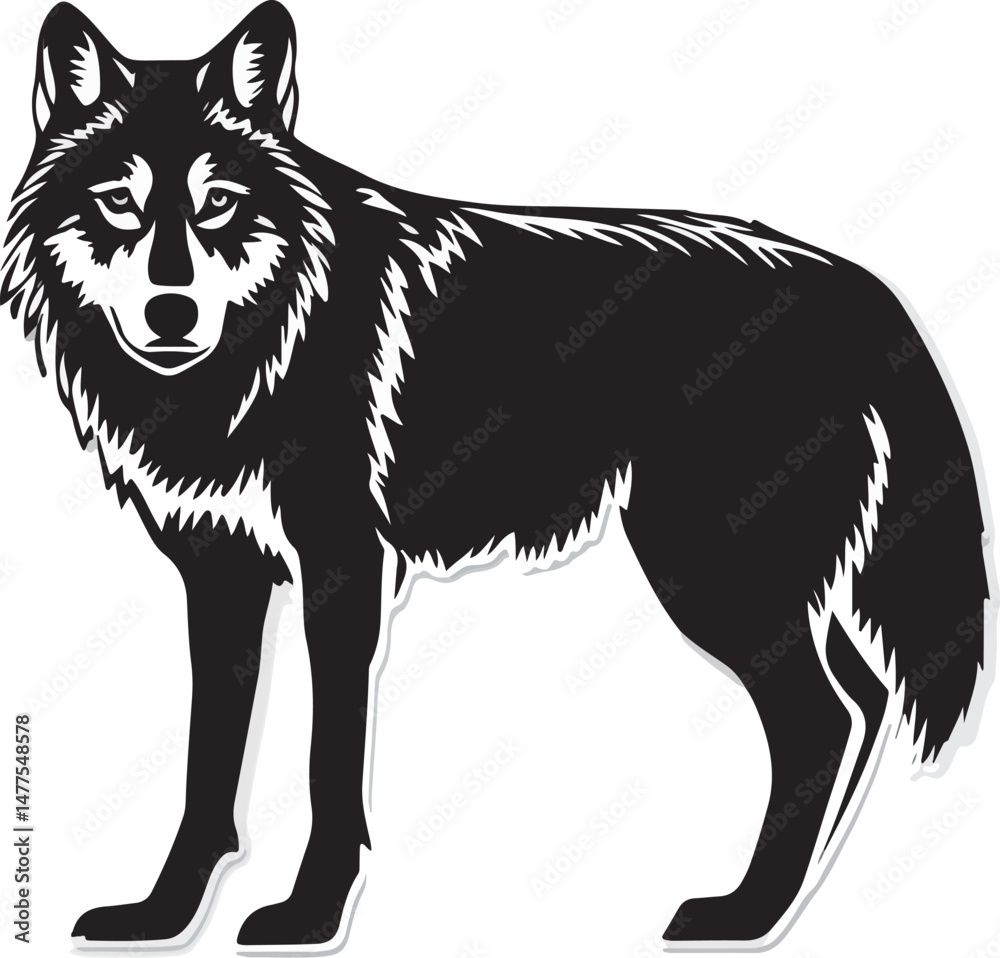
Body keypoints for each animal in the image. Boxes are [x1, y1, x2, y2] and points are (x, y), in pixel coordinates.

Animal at [2, 0, 992, 951]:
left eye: (217, 204)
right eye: (119, 204)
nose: (171, 312)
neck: (255, 358)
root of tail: (861, 284)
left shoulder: (342, 570)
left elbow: (329, 764)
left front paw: (309, 917)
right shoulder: (219, 575)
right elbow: (209, 764)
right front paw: (163, 917)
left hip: (710, 572)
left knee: (826, 720)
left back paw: (744, 916)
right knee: (862, 703)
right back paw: (787, 902)